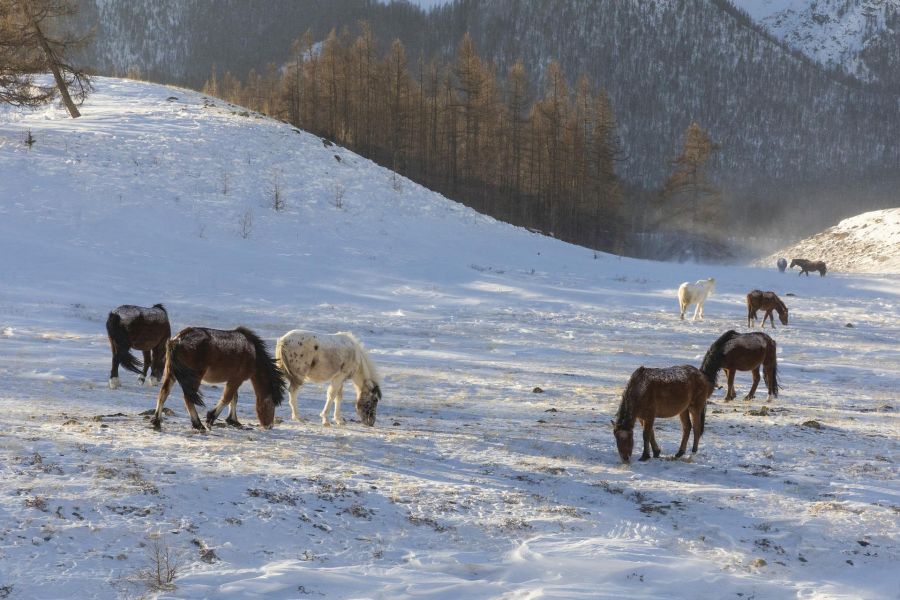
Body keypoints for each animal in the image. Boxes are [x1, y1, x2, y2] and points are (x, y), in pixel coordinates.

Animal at [149, 328, 284, 432]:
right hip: (194, 377)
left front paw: (233, 421)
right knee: (187, 399)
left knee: (163, 393)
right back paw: (198, 425)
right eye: (271, 405)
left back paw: (156, 421)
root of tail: (176, 340)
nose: (269, 426)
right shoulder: (236, 380)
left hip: (170, 373)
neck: (253, 354)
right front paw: (211, 418)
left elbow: (234, 399)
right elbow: (227, 398)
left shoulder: (232, 380)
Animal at [608, 332, 728, 460]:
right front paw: (656, 452)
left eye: (629, 438)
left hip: (695, 408)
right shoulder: (641, 417)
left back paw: (693, 452)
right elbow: (651, 434)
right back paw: (680, 452)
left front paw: (645, 455)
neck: (641, 387)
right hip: (683, 409)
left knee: (696, 428)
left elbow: (646, 435)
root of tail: (703, 376)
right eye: (616, 439)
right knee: (687, 427)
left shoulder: (650, 415)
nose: (625, 458)